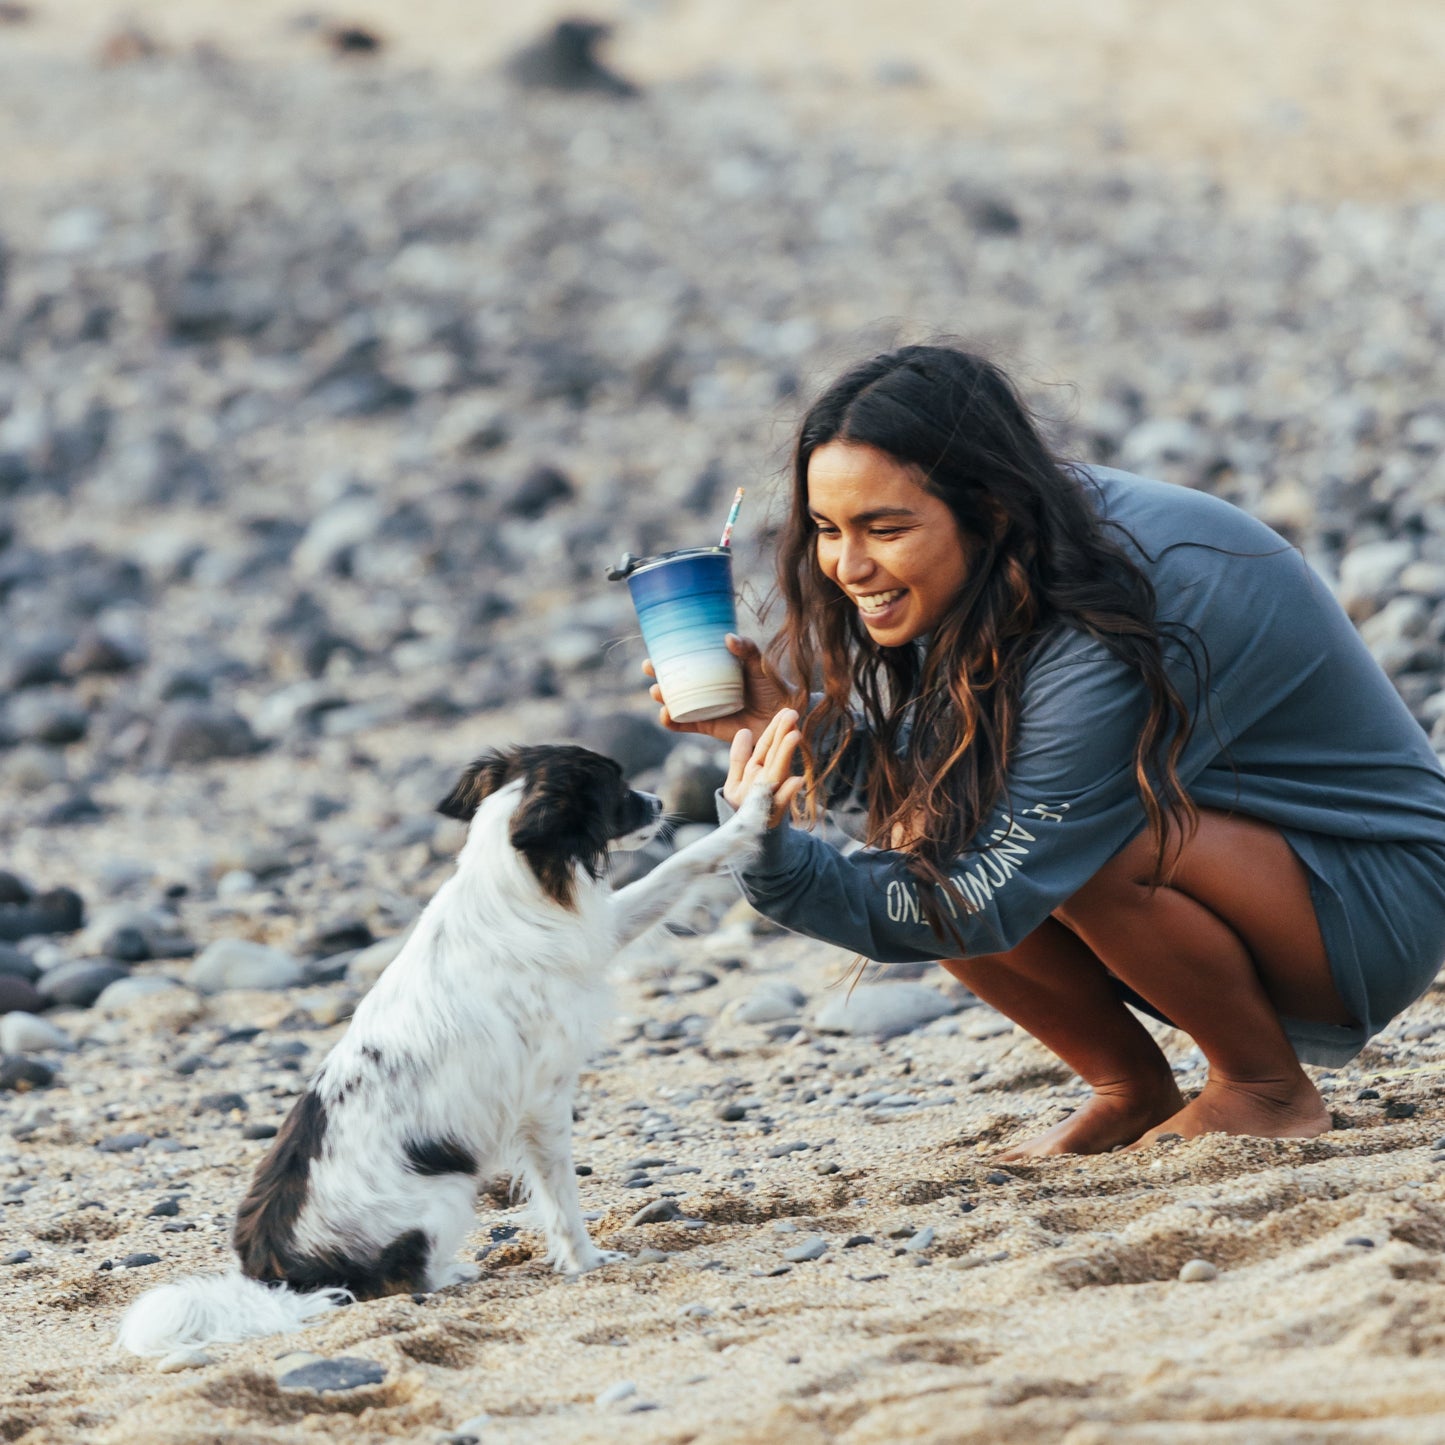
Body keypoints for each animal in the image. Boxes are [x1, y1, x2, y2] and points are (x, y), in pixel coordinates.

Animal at [121, 745, 780, 1352]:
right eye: (616, 787)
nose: (661, 802)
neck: (509, 881)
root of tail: (274, 1279)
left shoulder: (605, 928)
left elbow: (680, 866)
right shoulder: (544, 1100)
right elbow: (563, 1199)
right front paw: (588, 1263)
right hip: (446, 1193)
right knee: (403, 1282)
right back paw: (455, 1274)